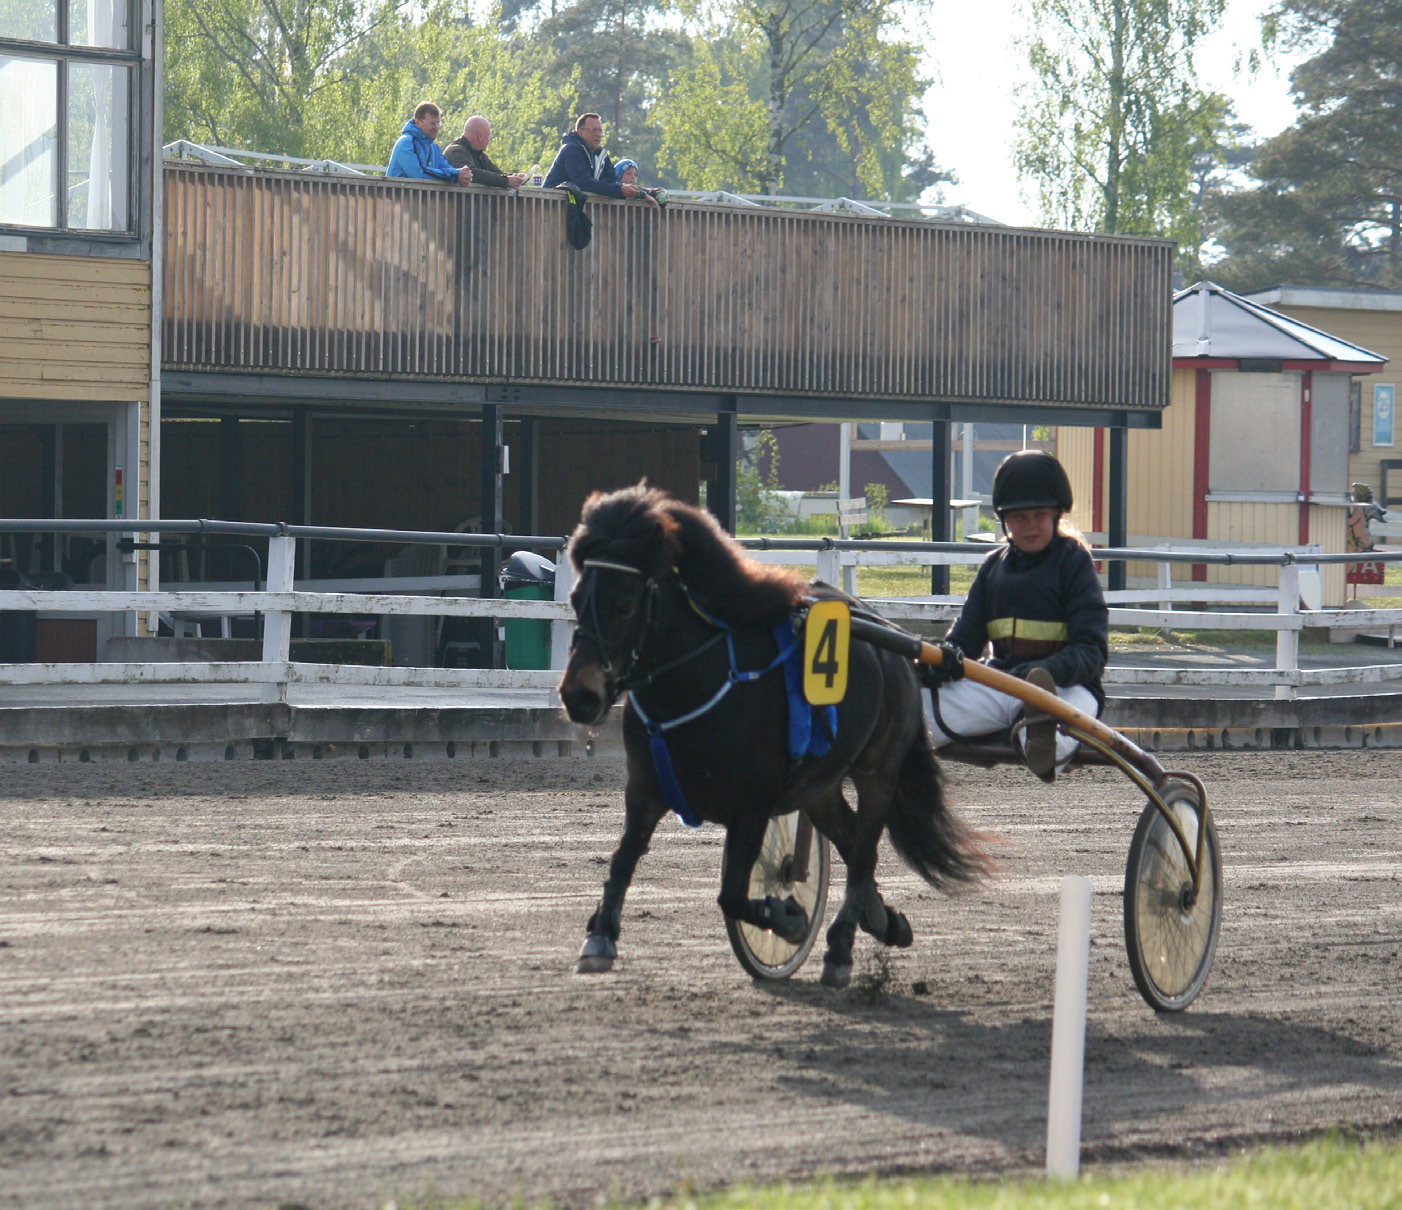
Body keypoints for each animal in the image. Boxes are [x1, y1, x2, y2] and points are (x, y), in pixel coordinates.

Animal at [552, 482, 992, 987]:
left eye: (623, 605)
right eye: (576, 599)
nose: (578, 695)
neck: (696, 684)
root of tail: (896, 639)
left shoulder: (753, 805)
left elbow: (732, 894)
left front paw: (787, 917)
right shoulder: (644, 790)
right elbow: (623, 858)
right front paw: (600, 934)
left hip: (878, 772)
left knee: (864, 852)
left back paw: (841, 947)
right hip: (820, 785)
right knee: (849, 838)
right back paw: (882, 919)